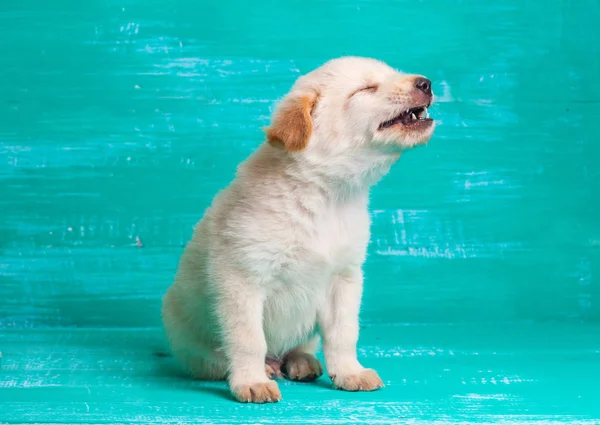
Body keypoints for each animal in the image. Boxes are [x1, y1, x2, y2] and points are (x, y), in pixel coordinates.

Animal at [162, 57, 434, 404]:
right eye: (366, 89)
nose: (426, 83)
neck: (327, 197)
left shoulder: (344, 280)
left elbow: (344, 334)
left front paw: (350, 372)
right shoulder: (242, 280)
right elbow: (249, 339)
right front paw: (251, 381)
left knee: (301, 346)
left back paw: (301, 362)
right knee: (218, 359)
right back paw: (262, 368)